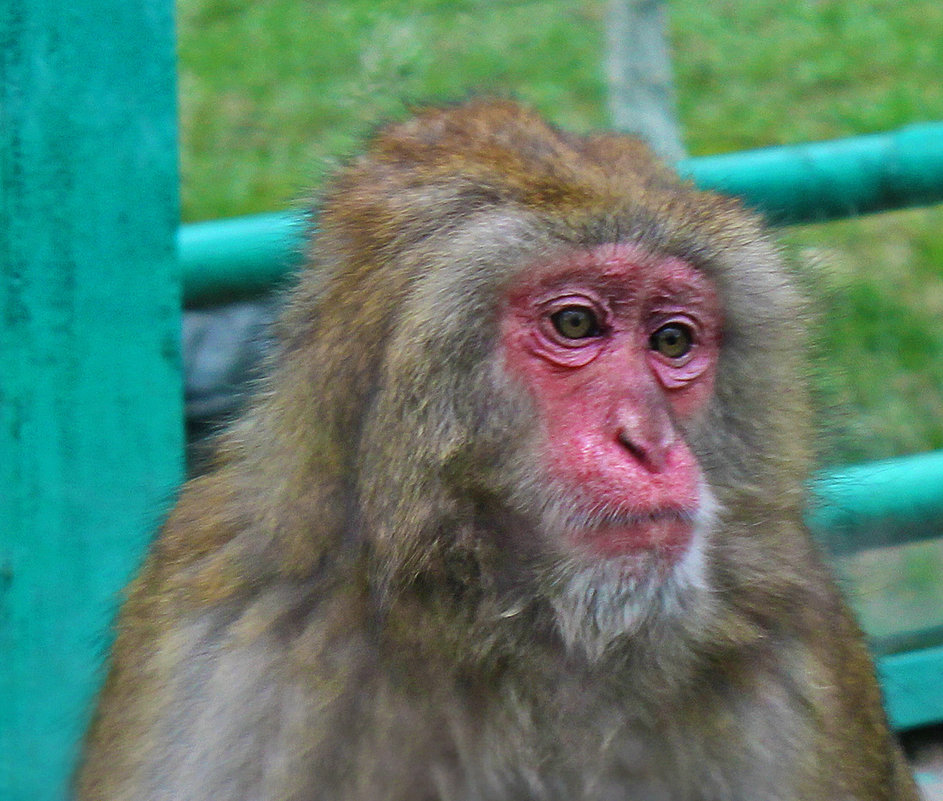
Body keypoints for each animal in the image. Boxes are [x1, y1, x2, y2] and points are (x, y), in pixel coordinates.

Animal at [75, 100, 920, 800]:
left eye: (673, 340)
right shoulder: (222, 637)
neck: (504, 630)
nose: (647, 442)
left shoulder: (800, 656)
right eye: (575, 324)